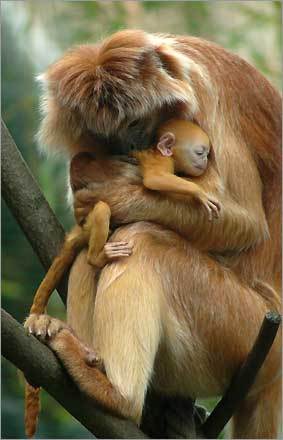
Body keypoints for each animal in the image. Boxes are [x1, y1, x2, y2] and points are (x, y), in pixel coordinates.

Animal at [27, 30, 282, 436]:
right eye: (106, 136)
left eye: (135, 125)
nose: (129, 148)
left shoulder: (208, 100)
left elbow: (247, 222)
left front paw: (115, 191)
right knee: (94, 252)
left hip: (247, 332)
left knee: (143, 239)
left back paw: (117, 395)